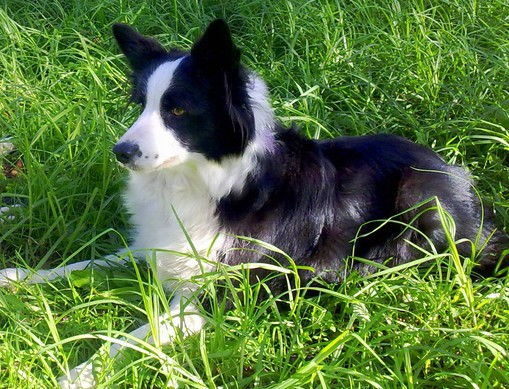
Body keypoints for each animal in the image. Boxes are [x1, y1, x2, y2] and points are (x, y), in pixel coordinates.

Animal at [0, 19, 506, 388]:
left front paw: (78, 373)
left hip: (420, 200)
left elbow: (134, 336)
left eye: (177, 110)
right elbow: (85, 264)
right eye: (141, 104)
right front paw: (18, 277)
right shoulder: (157, 249)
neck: (206, 184)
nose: (121, 152)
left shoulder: (221, 295)